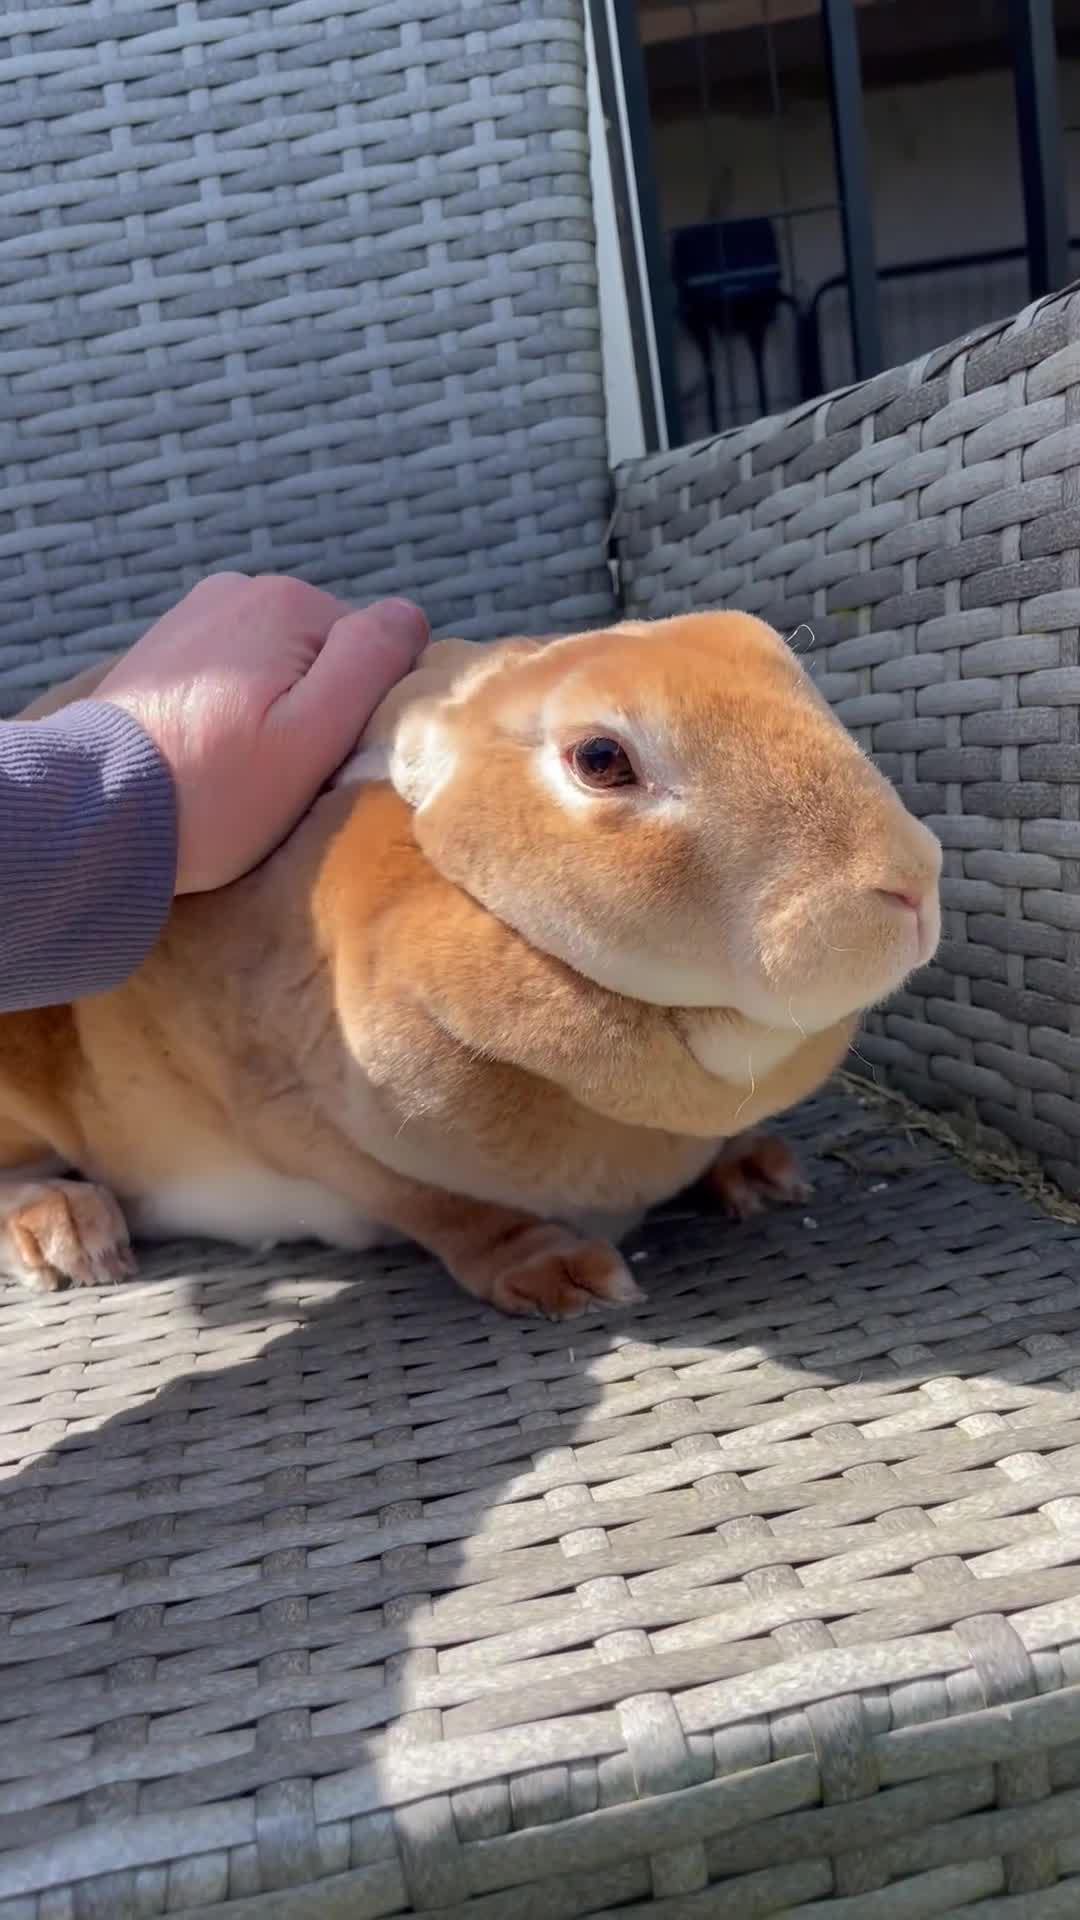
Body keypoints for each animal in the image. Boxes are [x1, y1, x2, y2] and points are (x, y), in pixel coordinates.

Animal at [0, 611, 941, 1317]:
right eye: (601, 759)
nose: (909, 880)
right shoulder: (301, 1118)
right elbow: (443, 1209)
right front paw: (560, 1273)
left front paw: (757, 1169)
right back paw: (66, 1232)